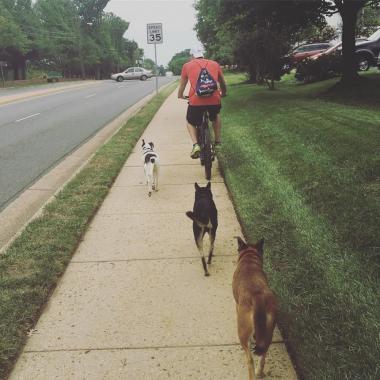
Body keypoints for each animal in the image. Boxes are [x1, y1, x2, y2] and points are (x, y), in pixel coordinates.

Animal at [232, 236, 276, 378]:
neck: (249, 259)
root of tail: (258, 297)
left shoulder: (237, 305)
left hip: (243, 333)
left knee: (249, 360)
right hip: (269, 330)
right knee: (263, 354)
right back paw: (259, 372)